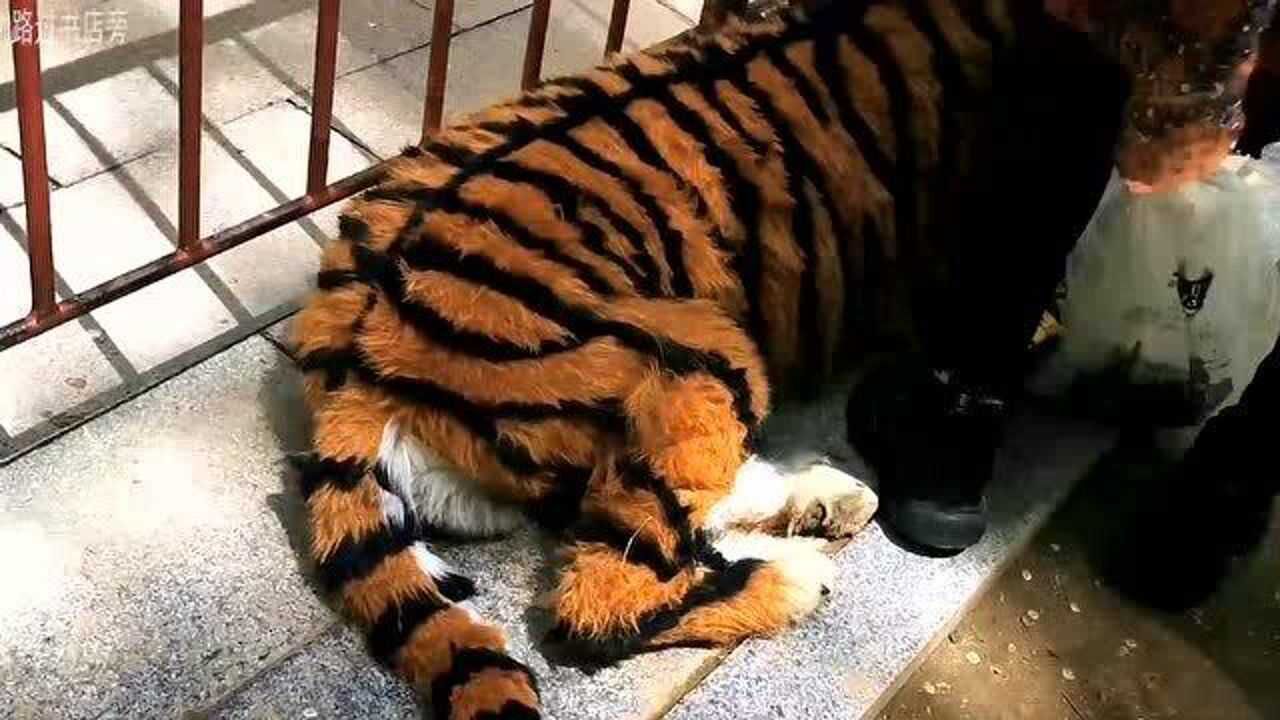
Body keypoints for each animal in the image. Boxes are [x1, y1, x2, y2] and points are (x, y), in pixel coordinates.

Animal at [287, 0, 1270, 717]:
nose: (1226, 119)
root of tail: (350, 365)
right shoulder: (1017, 244)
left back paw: (825, 500)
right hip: (701, 348)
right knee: (608, 596)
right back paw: (799, 572)